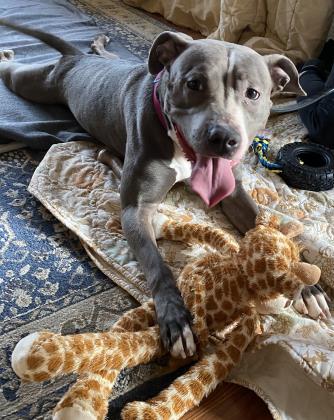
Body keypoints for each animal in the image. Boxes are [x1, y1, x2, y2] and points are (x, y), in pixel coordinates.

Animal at [0, 22, 328, 358]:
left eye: (252, 93)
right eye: (194, 84)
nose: (223, 138)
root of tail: (75, 59)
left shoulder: (233, 192)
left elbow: (262, 225)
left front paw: (306, 285)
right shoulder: (136, 210)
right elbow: (158, 266)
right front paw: (176, 319)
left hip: (120, 64)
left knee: (107, 55)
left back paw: (98, 44)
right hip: (36, 84)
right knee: (11, 72)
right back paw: (8, 54)